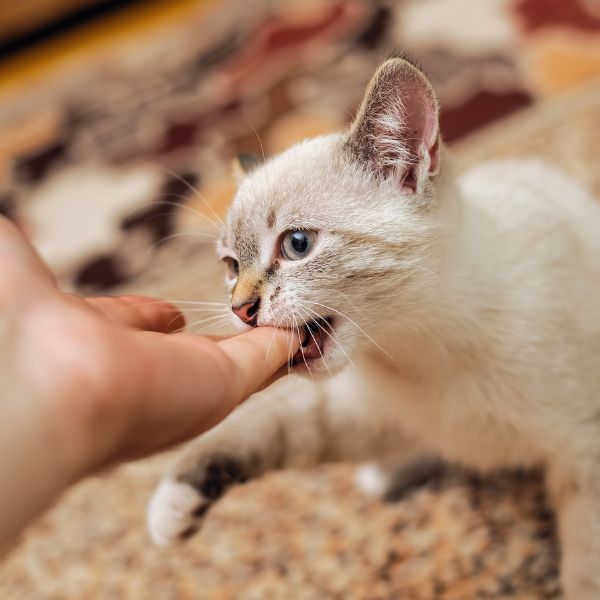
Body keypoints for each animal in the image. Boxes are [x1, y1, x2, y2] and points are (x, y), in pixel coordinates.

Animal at [148, 54, 600, 596]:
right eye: (231, 267)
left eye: (297, 244)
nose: (240, 309)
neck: (419, 345)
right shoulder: (361, 409)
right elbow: (263, 429)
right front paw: (173, 504)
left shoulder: (585, 453)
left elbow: (586, 569)